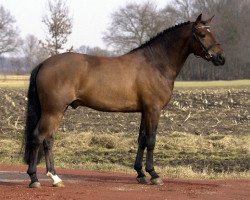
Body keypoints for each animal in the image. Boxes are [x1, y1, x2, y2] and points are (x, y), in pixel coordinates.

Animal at [24, 14, 226, 188]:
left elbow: (141, 140)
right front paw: (154, 175)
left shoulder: (145, 111)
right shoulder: (153, 110)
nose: (221, 57)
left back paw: (55, 178)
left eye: (212, 32)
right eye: (202, 34)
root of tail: (44, 64)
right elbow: (151, 140)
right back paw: (35, 179)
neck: (155, 63)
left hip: (57, 111)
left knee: (48, 140)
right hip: (53, 111)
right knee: (38, 137)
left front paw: (141, 174)